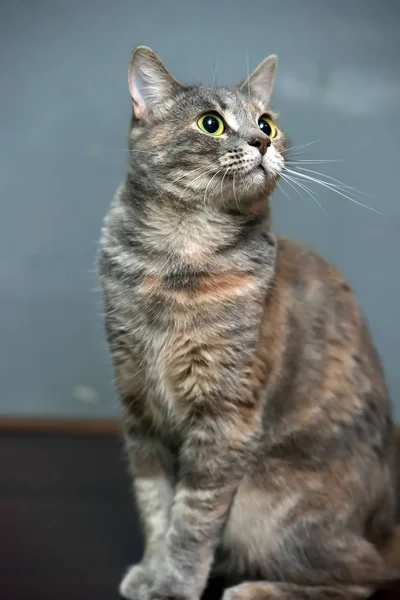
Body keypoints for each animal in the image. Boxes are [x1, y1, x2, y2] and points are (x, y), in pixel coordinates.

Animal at [97, 43, 400, 600]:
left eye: (266, 122)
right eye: (211, 123)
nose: (262, 140)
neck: (177, 259)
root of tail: (383, 528)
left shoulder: (225, 418)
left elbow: (192, 521)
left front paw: (173, 585)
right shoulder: (140, 408)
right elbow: (156, 507)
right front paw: (151, 571)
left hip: (266, 510)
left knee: (363, 576)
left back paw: (256, 590)